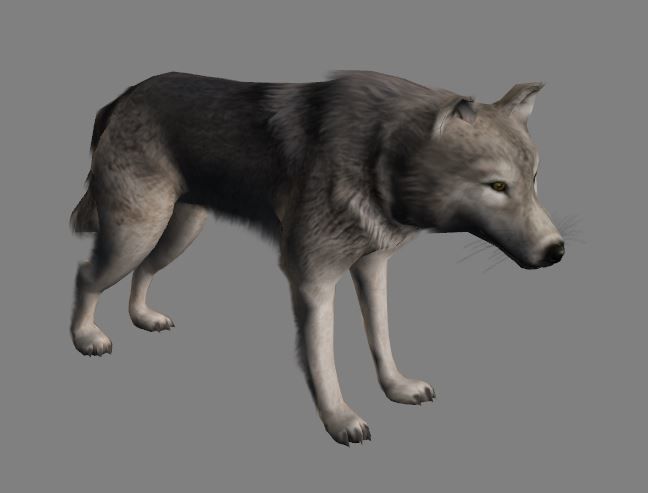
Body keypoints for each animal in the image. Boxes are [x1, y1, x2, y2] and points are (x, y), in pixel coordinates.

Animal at [69, 70, 564, 445]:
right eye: (497, 186)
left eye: (535, 179)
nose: (557, 250)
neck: (378, 157)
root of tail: (124, 95)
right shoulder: (313, 279)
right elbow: (323, 361)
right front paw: (340, 420)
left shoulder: (372, 267)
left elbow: (381, 336)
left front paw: (397, 387)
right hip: (137, 233)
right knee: (85, 274)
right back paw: (85, 337)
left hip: (176, 232)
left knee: (143, 271)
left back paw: (144, 317)